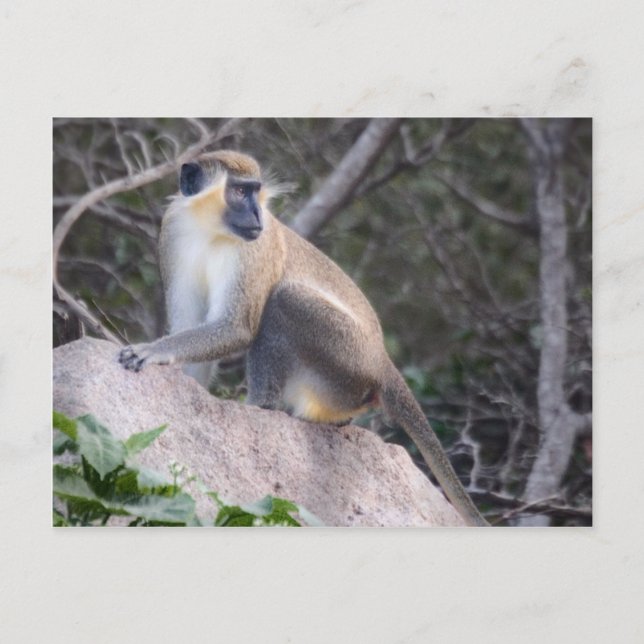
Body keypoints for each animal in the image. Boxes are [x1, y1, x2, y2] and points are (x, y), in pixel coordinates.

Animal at [119, 150, 488, 526]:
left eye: (255, 191)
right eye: (239, 191)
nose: (257, 214)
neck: (210, 229)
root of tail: (383, 362)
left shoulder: (256, 248)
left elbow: (237, 327)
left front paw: (153, 350)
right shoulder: (173, 231)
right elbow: (189, 324)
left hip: (346, 360)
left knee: (283, 300)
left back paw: (260, 407)